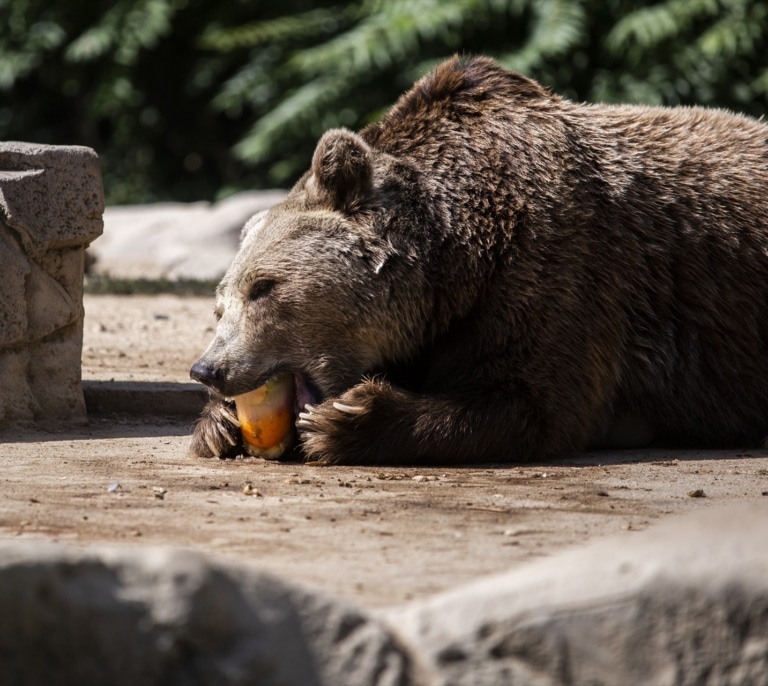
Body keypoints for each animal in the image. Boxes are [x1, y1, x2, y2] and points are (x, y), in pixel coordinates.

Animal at [189, 54, 768, 465]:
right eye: (220, 305)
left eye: (264, 287)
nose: (209, 369)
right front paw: (218, 424)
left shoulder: (555, 265)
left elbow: (534, 400)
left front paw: (348, 418)